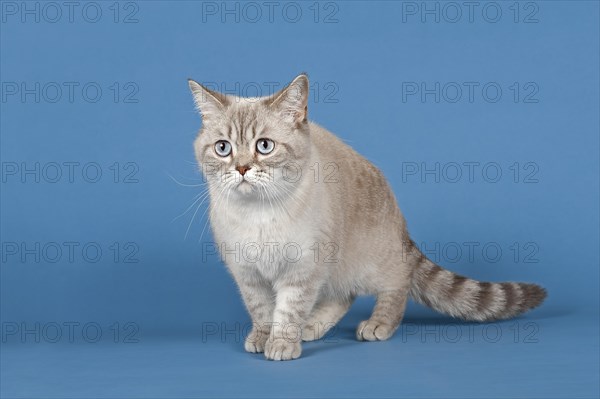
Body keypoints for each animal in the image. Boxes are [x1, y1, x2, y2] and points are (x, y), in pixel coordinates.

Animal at [189, 73, 548, 360]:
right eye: (223, 148)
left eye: (264, 146)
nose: (241, 168)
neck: (258, 215)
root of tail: (401, 226)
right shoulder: (248, 273)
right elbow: (262, 310)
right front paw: (263, 338)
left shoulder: (302, 270)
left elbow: (289, 310)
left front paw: (282, 344)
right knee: (343, 295)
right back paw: (313, 326)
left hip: (369, 261)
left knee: (398, 281)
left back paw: (377, 324)